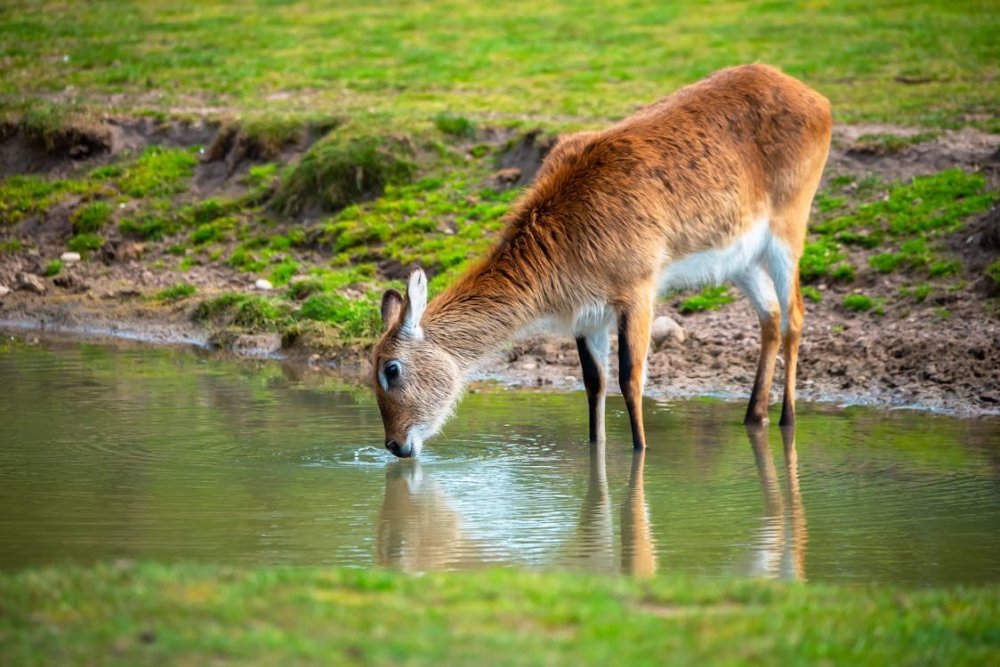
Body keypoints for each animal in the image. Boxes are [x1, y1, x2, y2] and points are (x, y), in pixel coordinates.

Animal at [372, 64, 832, 460]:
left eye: (391, 368)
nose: (395, 445)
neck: (567, 227)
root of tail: (813, 97)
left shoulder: (638, 293)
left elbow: (631, 377)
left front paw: (640, 451)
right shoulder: (587, 315)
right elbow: (595, 383)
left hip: (788, 231)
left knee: (795, 314)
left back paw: (787, 418)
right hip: (742, 260)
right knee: (770, 316)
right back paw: (754, 415)